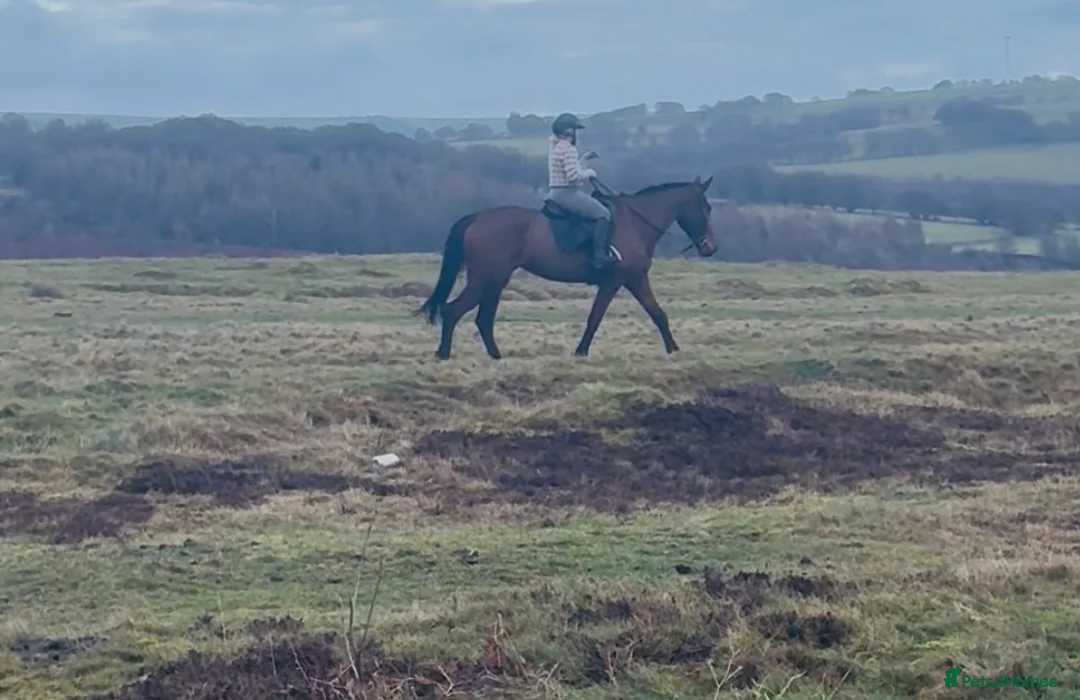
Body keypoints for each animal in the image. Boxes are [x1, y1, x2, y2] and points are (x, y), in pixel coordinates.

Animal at [416, 176, 717, 360]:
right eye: (707, 208)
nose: (710, 248)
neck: (635, 223)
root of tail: (476, 218)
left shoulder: (635, 279)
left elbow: (658, 314)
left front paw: (674, 349)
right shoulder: (615, 281)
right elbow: (595, 317)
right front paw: (581, 351)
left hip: (495, 280)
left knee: (482, 318)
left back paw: (495, 356)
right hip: (485, 279)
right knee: (453, 310)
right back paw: (443, 353)